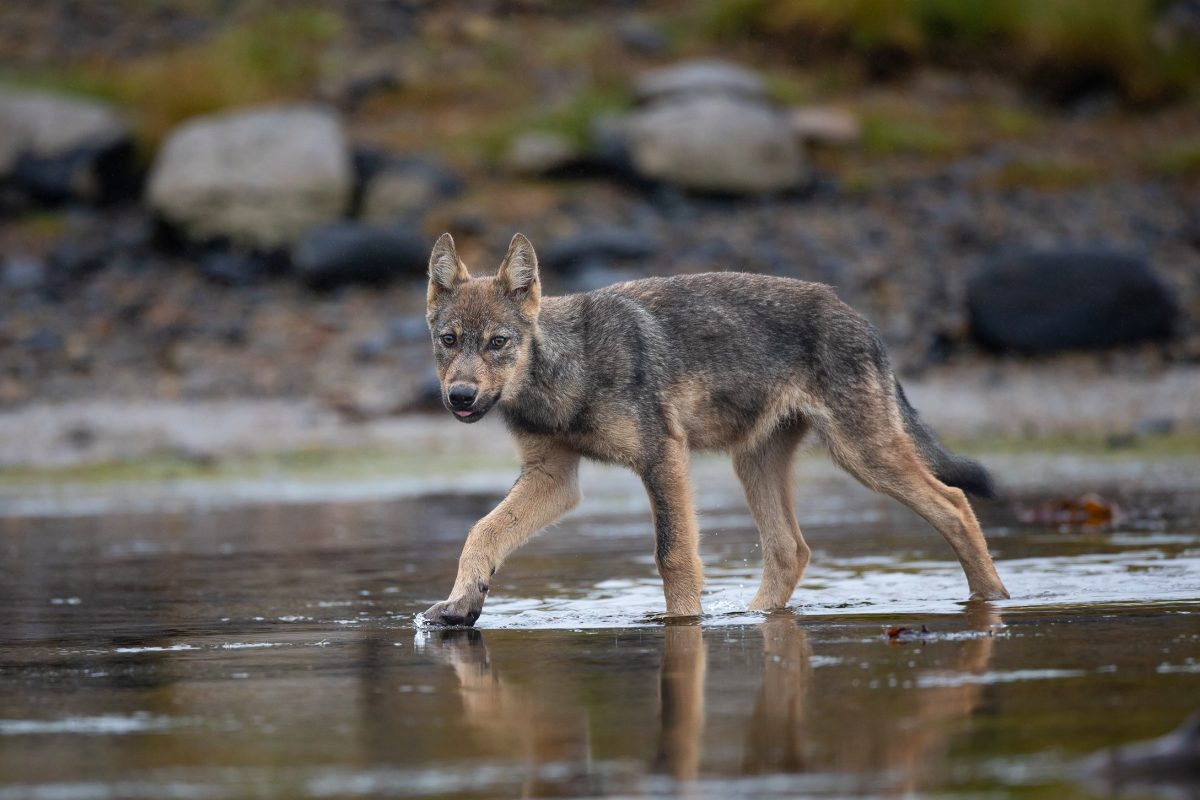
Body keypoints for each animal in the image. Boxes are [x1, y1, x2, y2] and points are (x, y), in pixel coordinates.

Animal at [421, 232, 1009, 626]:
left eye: (497, 342)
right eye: (449, 341)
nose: (460, 397)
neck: (568, 374)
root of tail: (859, 317)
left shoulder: (662, 458)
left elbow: (673, 556)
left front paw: (682, 626)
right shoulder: (554, 478)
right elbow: (482, 531)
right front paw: (461, 602)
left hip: (862, 456)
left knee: (955, 503)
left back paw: (995, 601)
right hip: (756, 463)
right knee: (791, 551)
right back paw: (753, 615)